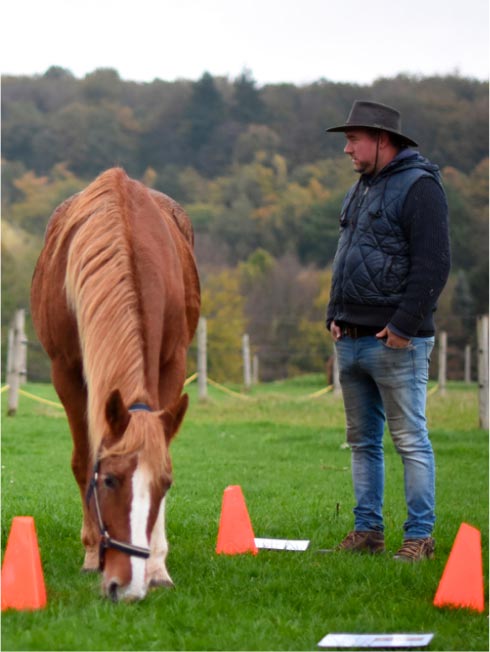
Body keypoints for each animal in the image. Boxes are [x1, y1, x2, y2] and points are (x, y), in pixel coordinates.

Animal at [30, 167, 200, 600]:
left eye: (165, 484)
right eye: (108, 480)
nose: (127, 586)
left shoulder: (172, 363)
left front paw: (157, 566)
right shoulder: (66, 372)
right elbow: (83, 459)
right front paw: (93, 554)